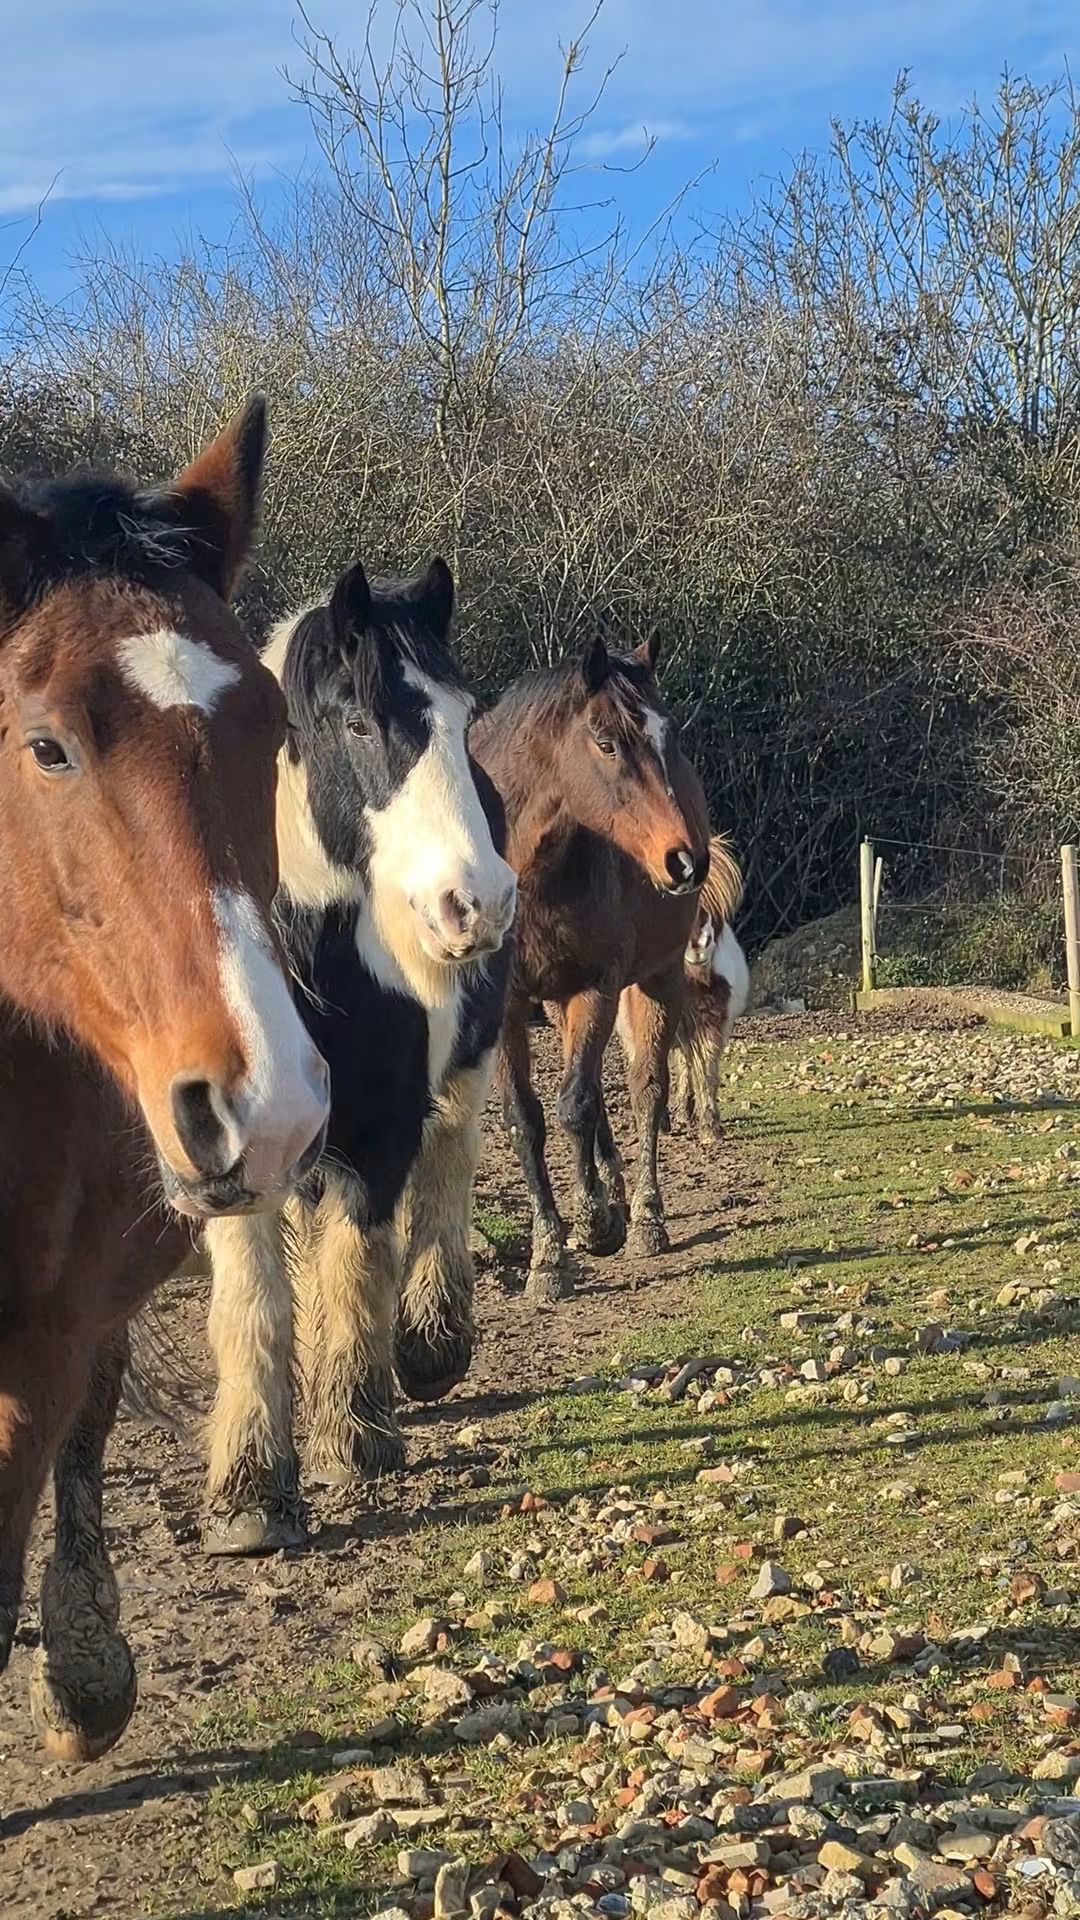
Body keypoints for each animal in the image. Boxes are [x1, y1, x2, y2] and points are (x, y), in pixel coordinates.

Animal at [200, 557, 516, 1553]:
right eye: (359, 723)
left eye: (462, 714)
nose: (478, 901)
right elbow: (256, 1300)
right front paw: (251, 1489)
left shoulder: (380, 1126)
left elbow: (356, 1264)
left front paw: (356, 1428)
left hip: (468, 1060)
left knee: (449, 1166)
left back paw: (429, 1345)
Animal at [469, 631, 709, 1300]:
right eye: (606, 743)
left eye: (669, 736)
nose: (686, 861)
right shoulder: (508, 1006)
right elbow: (525, 1119)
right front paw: (548, 1252)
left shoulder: (598, 989)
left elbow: (575, 1104)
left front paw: (594, 1223)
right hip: (556, 1001)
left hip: (655, 981)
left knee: (645, 1090)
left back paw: (645, 1215)